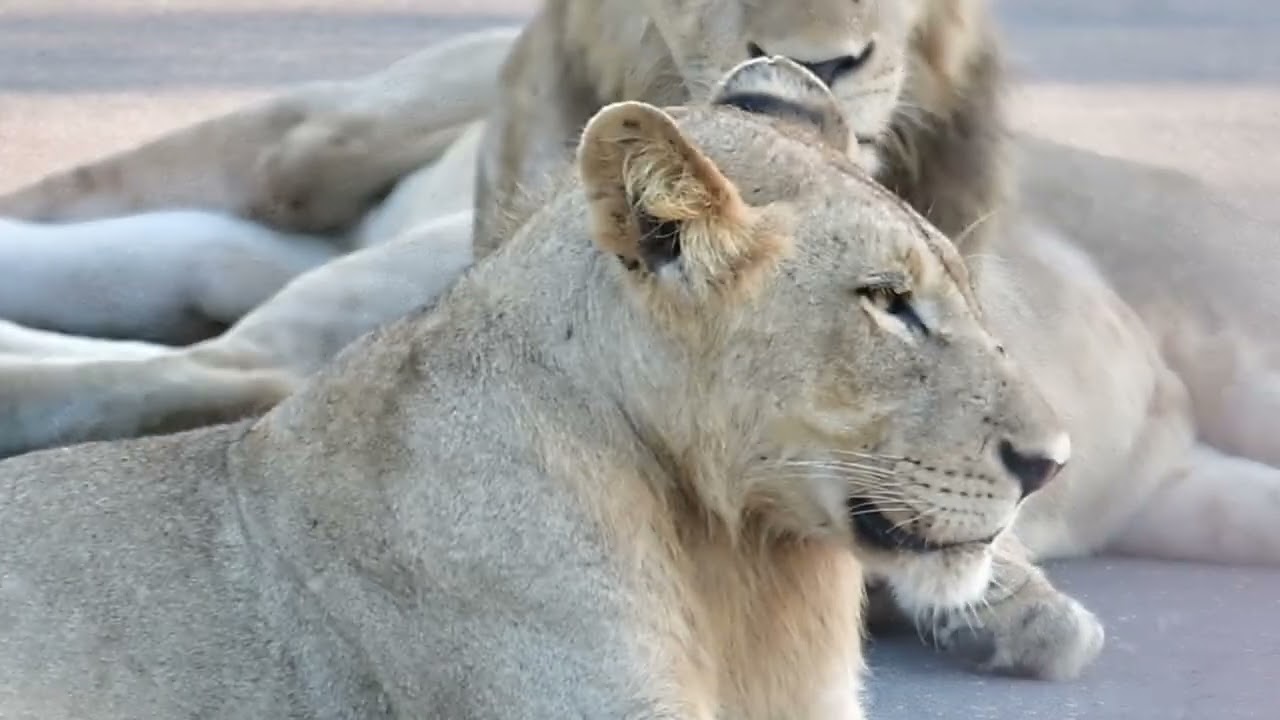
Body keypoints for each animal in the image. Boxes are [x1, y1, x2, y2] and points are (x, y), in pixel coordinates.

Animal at [3, 0, 1280, 684]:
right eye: (888, 303)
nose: (820, 62)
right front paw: (1002, 600)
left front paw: (1004, 606)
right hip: (318, 144)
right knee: (231, 312)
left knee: (205, 281)